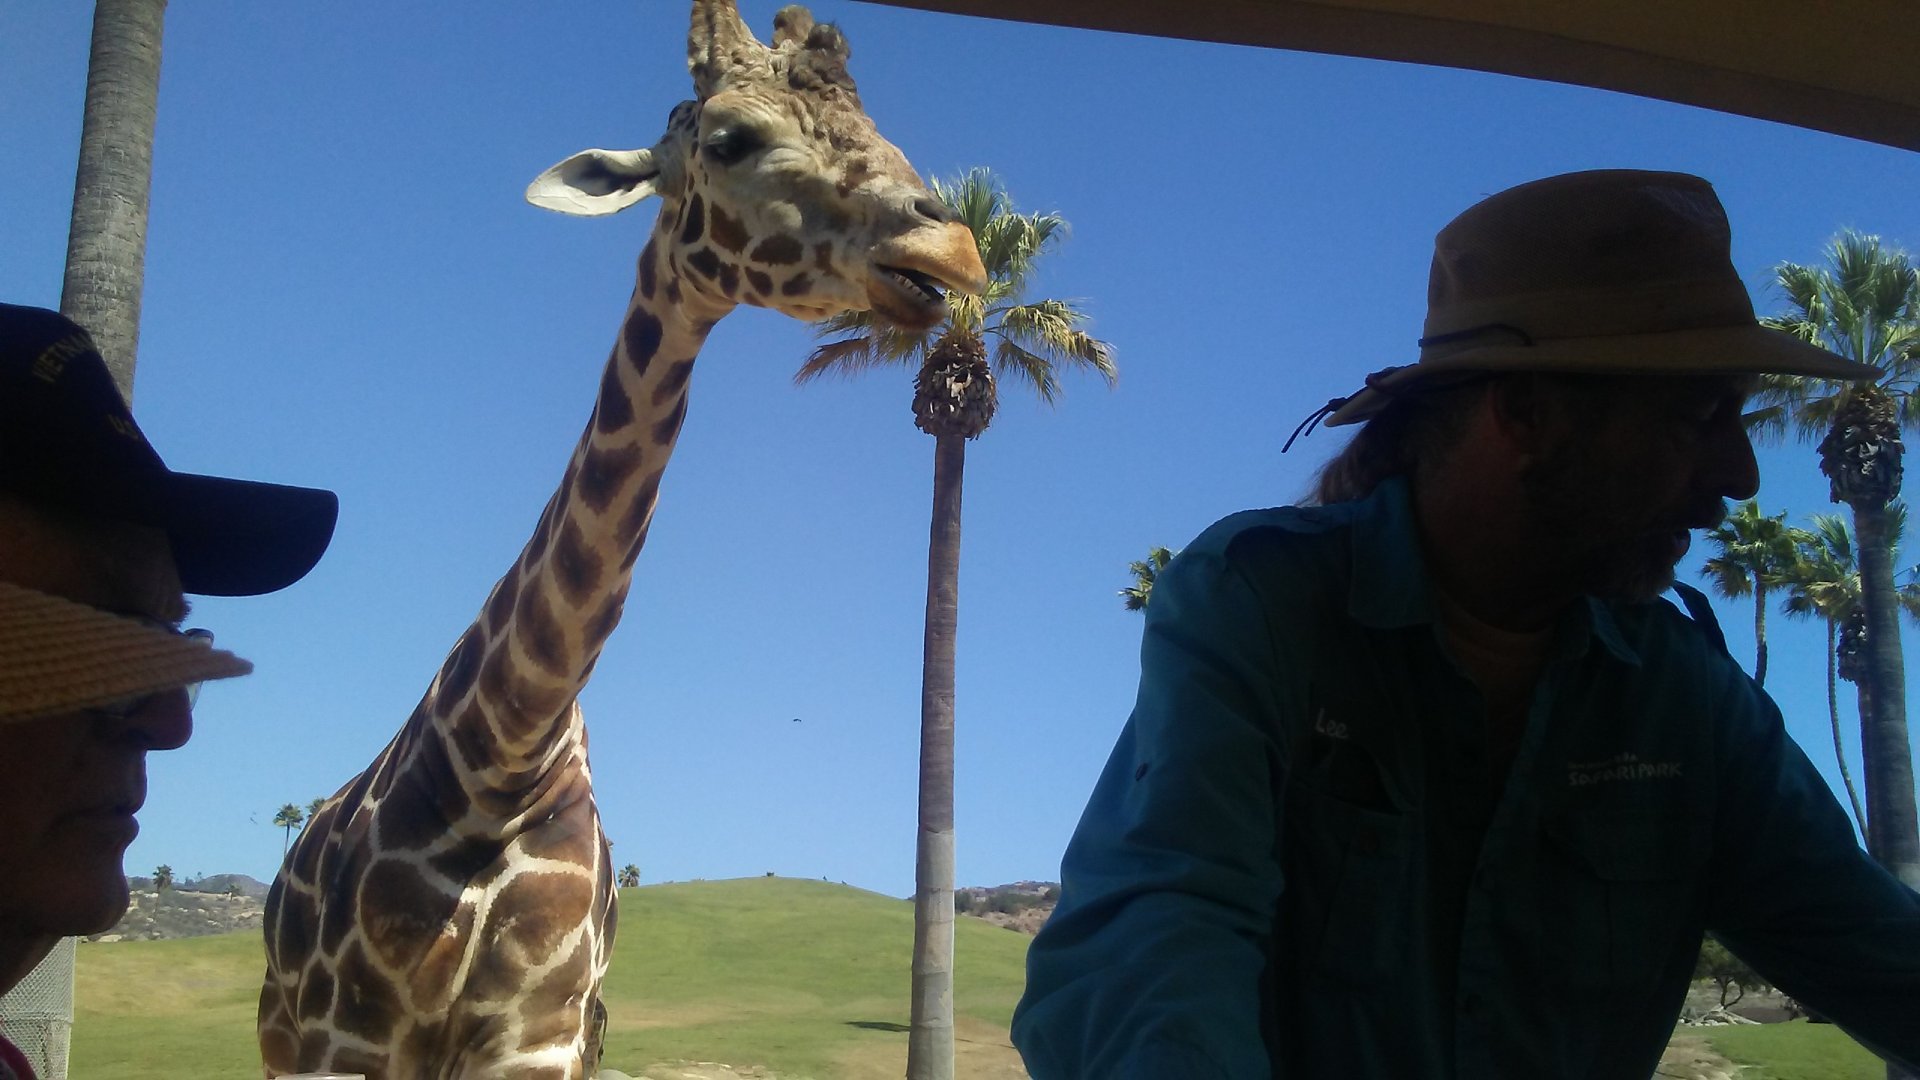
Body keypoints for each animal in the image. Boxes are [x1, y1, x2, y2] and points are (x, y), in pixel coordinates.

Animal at [255, 4, 986, 1076]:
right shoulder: (349, 1033)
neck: (499, 759)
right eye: (729, 139)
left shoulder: (541, 1031)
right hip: (287, 1033)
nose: (956, 251)